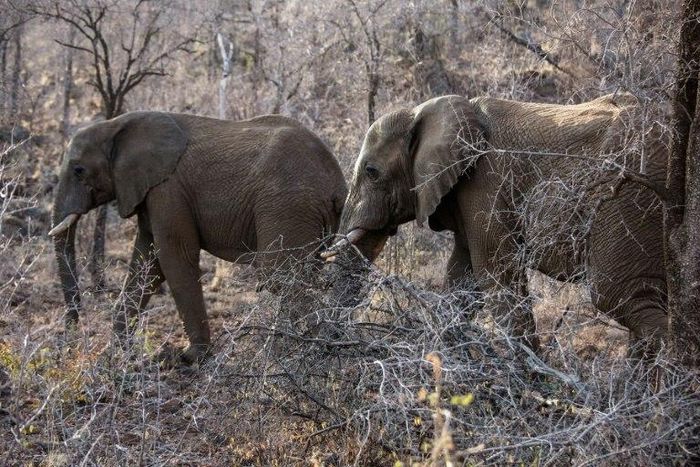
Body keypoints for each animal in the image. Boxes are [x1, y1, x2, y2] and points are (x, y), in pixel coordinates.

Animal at [50, 111, 348, 363]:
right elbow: (145, 263)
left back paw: (300, 352)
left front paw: (189, 358)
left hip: (288, 205)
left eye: (78, 170)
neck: (116, 125)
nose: (71, 339)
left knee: (280, 278)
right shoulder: (149, 191)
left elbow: (174, 259)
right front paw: (116, 356)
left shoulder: (168, 189)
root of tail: (337, 185)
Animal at [323, 93, 668, 355]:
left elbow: (496, 275)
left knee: (622, 296)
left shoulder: (485, 184)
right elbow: (462, 279)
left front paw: (533, 386)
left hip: (626, 198)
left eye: (371, 172)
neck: (425, 110)